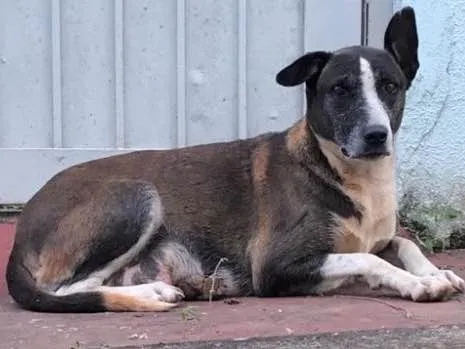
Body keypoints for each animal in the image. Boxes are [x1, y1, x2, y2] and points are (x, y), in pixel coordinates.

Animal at [4, 6, 464, 312]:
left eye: (391, 85)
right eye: (340, 89)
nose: (375, 135)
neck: (350, 174)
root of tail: (24, 226)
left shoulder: (375, 237)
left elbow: (402, 243)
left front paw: (433, 272)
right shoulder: (277, 266)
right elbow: (370, 257)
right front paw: (417, 284)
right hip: (136, 197)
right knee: (66, 291)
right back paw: (150, 293)